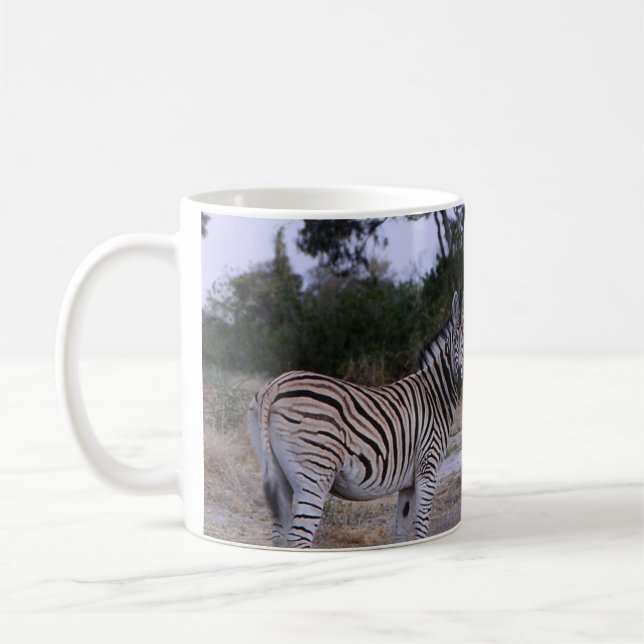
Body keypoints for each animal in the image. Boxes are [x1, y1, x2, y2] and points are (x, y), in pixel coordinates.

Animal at [247, 291, 463, 548]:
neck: (436, 394)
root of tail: (275, 385)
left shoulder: (409, 483)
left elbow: (401, 531)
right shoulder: (427, 469)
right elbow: (421, 528)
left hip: (279, 473)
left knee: (280, 535)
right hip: (314, 474)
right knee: (298, 538)